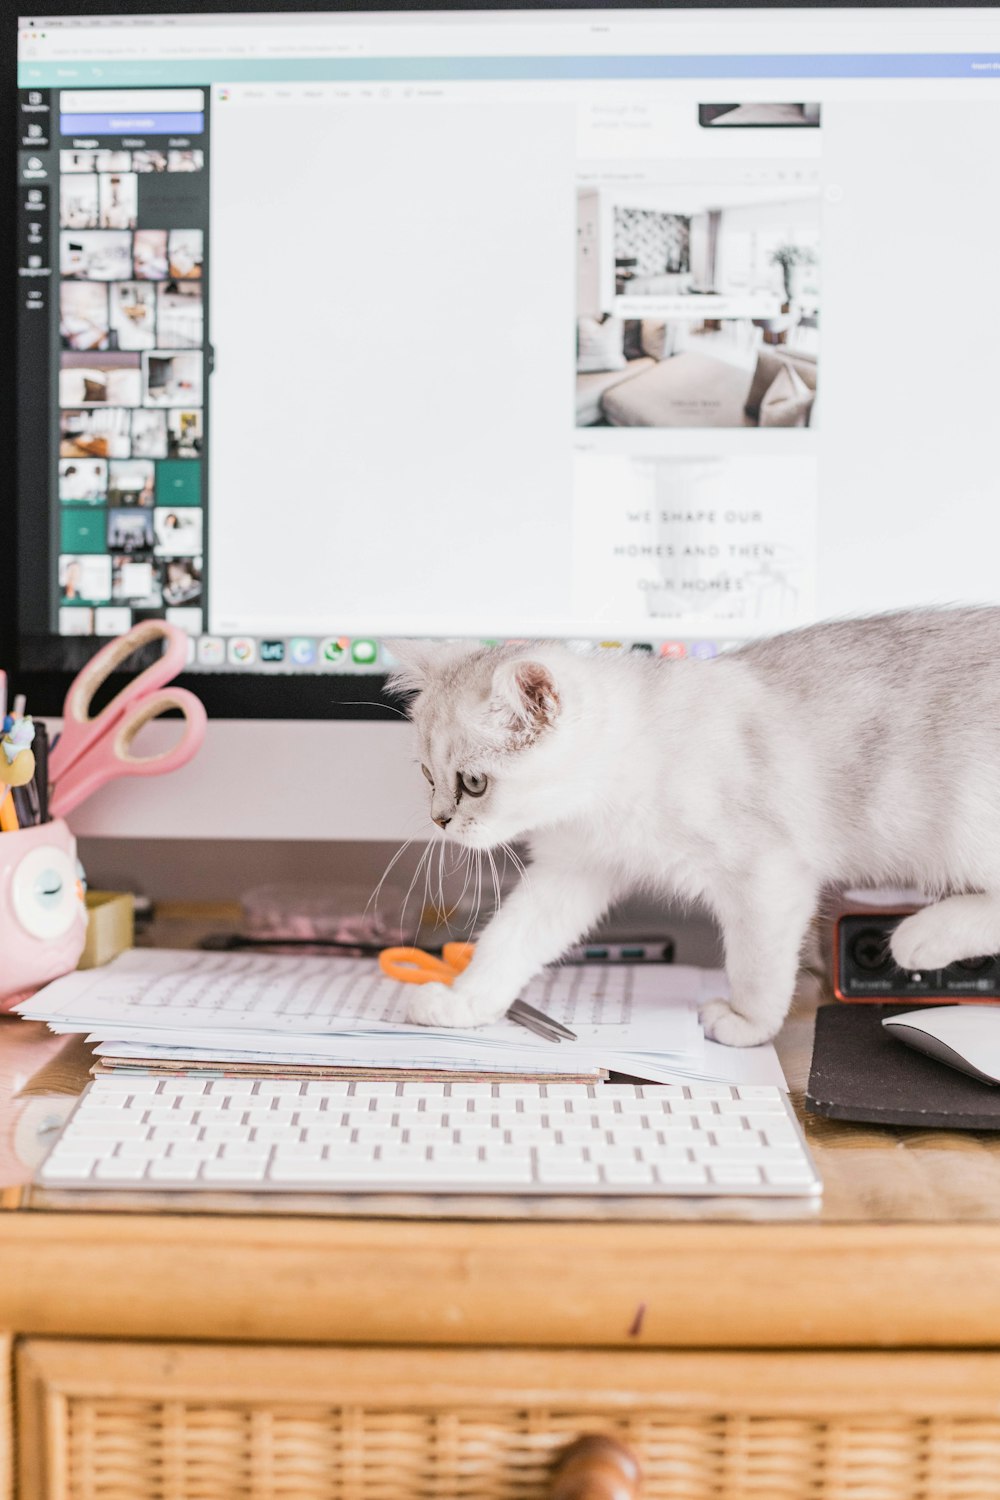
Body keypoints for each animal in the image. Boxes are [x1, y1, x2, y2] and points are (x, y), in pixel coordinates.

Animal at [386, 609, 1000, 1044]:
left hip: (966, 818)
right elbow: (508, 941)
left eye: (473, 783)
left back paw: (922, 936)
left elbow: (756, 965)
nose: (440, 820)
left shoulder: (767, 875)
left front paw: (748, 1024)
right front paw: (463, 1001)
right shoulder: (575, 869)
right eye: (426, 775)